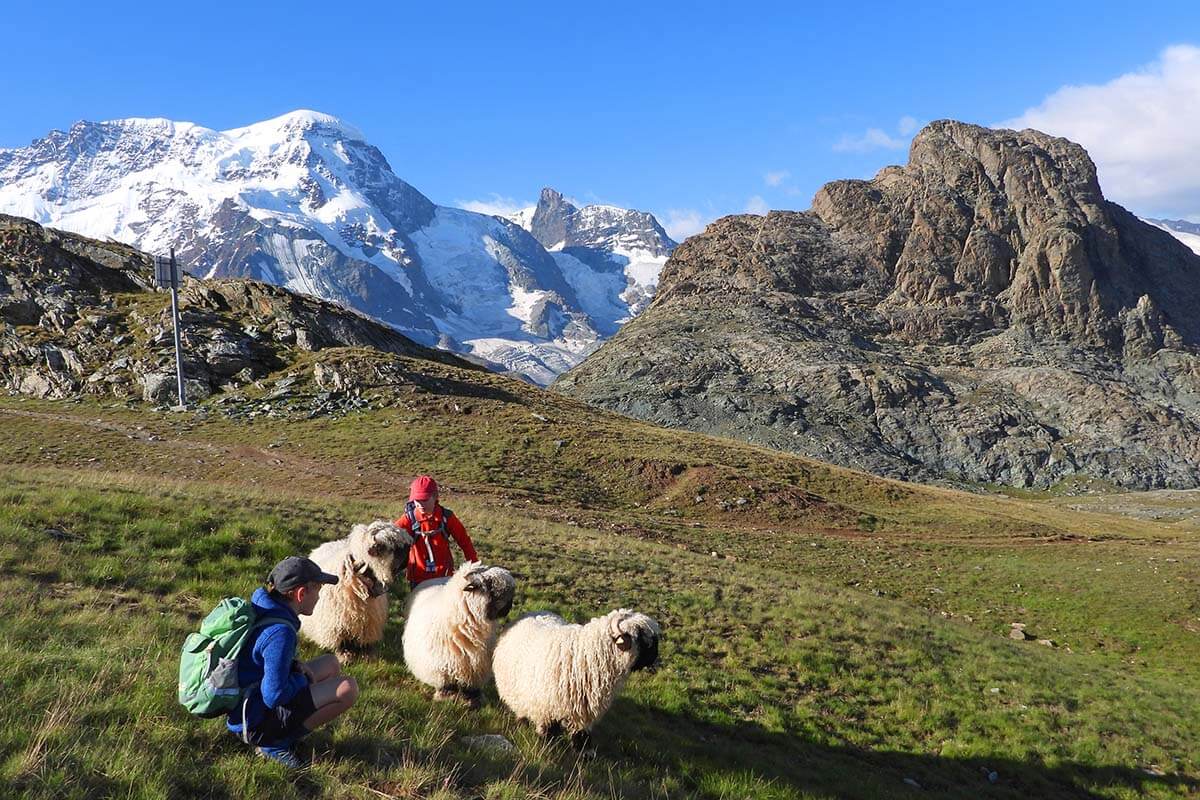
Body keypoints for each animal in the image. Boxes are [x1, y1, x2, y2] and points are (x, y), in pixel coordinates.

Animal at [300, 522, 412, 662]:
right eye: (386, 546)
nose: (408, 558)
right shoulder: (338, 623)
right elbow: (341, 642)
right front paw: (344, 656)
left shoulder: (369, 624)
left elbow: (364, 643)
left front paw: (366, 656)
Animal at [403, 561, 516, 705]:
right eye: (490, 587)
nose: (509, 606)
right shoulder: (443, 665)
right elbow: (447, 684)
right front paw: (446, 697)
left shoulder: (475, 665)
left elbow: (471, 686)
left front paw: (472, 700)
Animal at [492, 609, 662, 748]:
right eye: (645, 642)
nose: (655, 658)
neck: (586, 657)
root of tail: (531, 612)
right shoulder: (545, 710)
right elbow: (548, 734)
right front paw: (548, 749)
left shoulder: (583, 710)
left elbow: (582, 734)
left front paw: (585, 754)